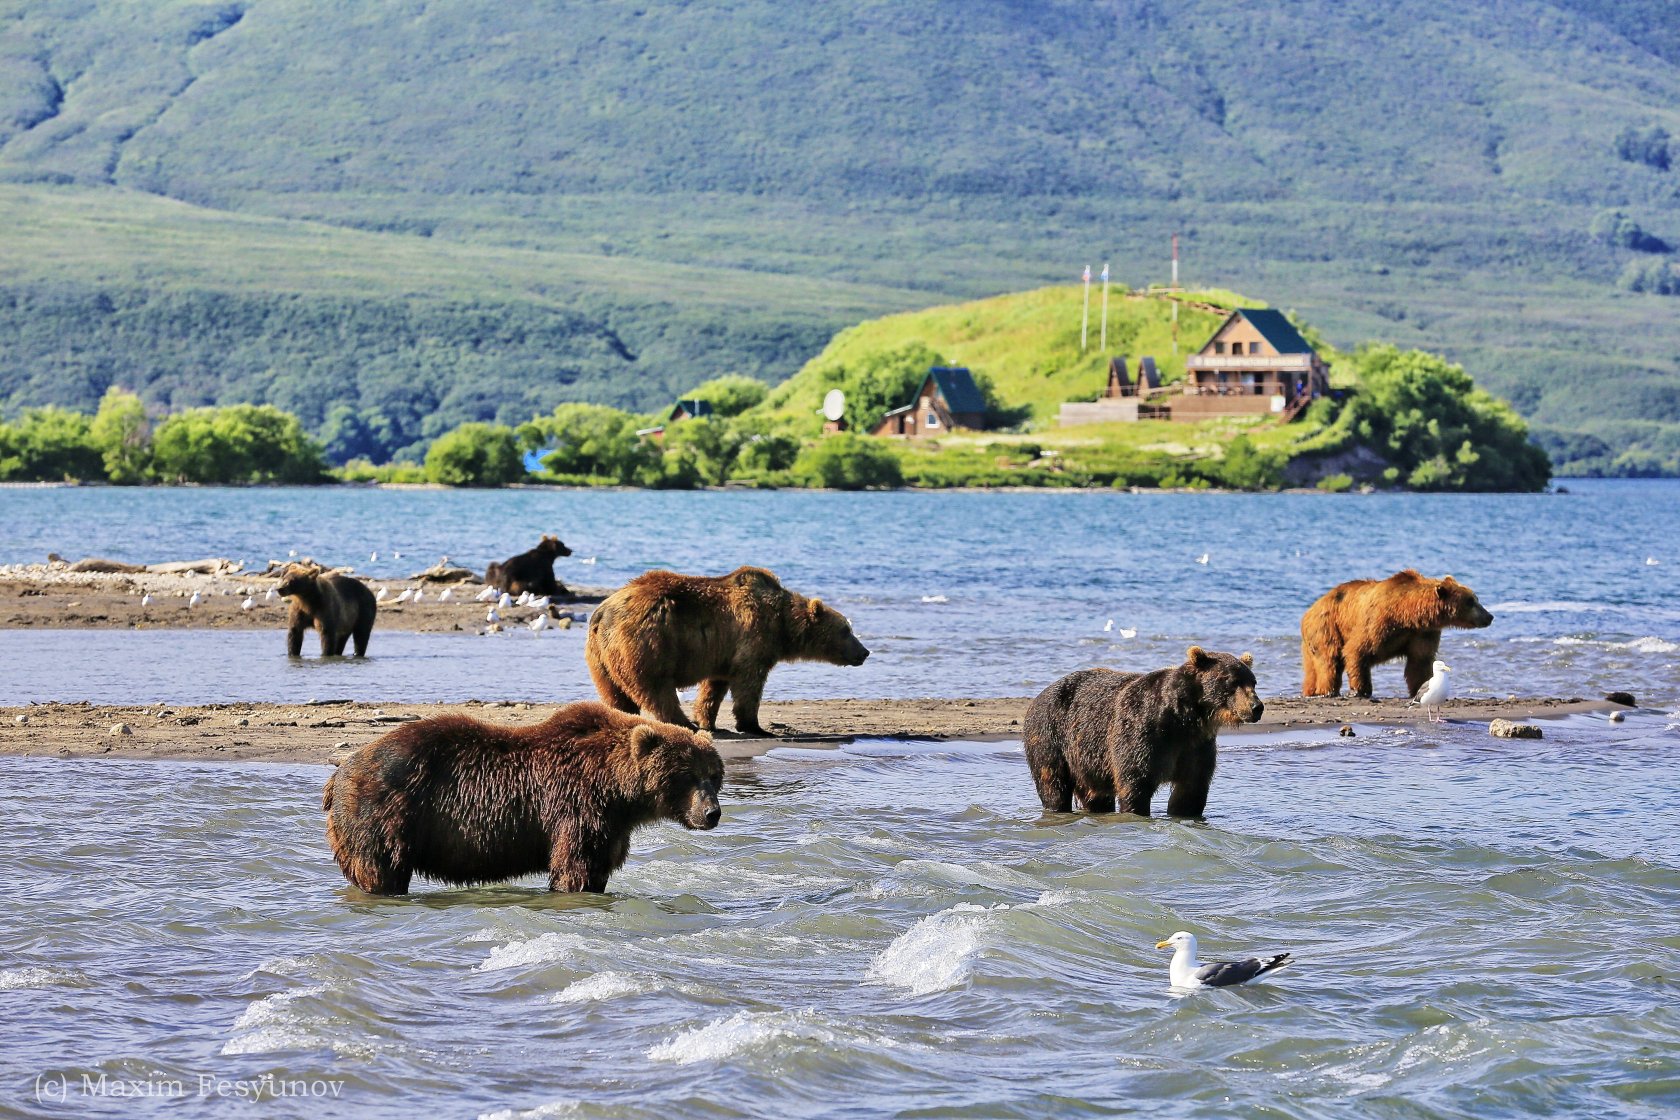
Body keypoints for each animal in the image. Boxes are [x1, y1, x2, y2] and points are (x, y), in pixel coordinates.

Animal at [324, 701, 725, 893]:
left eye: (714, 775)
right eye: (686, 775)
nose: (712, 813)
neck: (617, 791)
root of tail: (339, 772)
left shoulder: (612, 826)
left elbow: (598, 866)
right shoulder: (576, 805)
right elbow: (575, 866)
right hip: (384, 814)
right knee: (382, 868)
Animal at [588, 570, 873, 735]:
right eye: (846, 629)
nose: (865, 652)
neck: (782, 625)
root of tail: (602, 612)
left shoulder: (723, 655)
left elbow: (714, 687)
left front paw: (707, 719)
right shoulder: (753, 638)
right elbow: (749, 683)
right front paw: (754, 726)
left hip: (602, 657)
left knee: (615, 693)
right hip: (648, 642)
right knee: (656, 687)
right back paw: (683, 723)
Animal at [1021, 651, 1263, 819]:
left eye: (1252, 681)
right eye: (1231, 681)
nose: (1256, 707)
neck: (1183, 719)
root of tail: (1037, 697)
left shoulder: (1196, 747)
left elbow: (1191, 790)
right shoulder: (1142, 735)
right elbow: (1135, 782)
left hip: (1088, 760)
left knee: (1095, 794)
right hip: (1050, 737)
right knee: (1053, 784)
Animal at [1296, 574, 1498, 695]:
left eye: (1476, 598)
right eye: (1471, 601)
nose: (1489, 616)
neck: (1408, 613)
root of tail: (1307, 612)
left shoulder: (1423, 633)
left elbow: (1420, 661)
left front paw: (1422, 686)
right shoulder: (1378, 621)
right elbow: (1357, 650)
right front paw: (1361, 689)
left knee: (1312, 668)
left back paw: (1310, 690)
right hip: (1326, 626)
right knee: (1329, 660)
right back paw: (1327, 690)